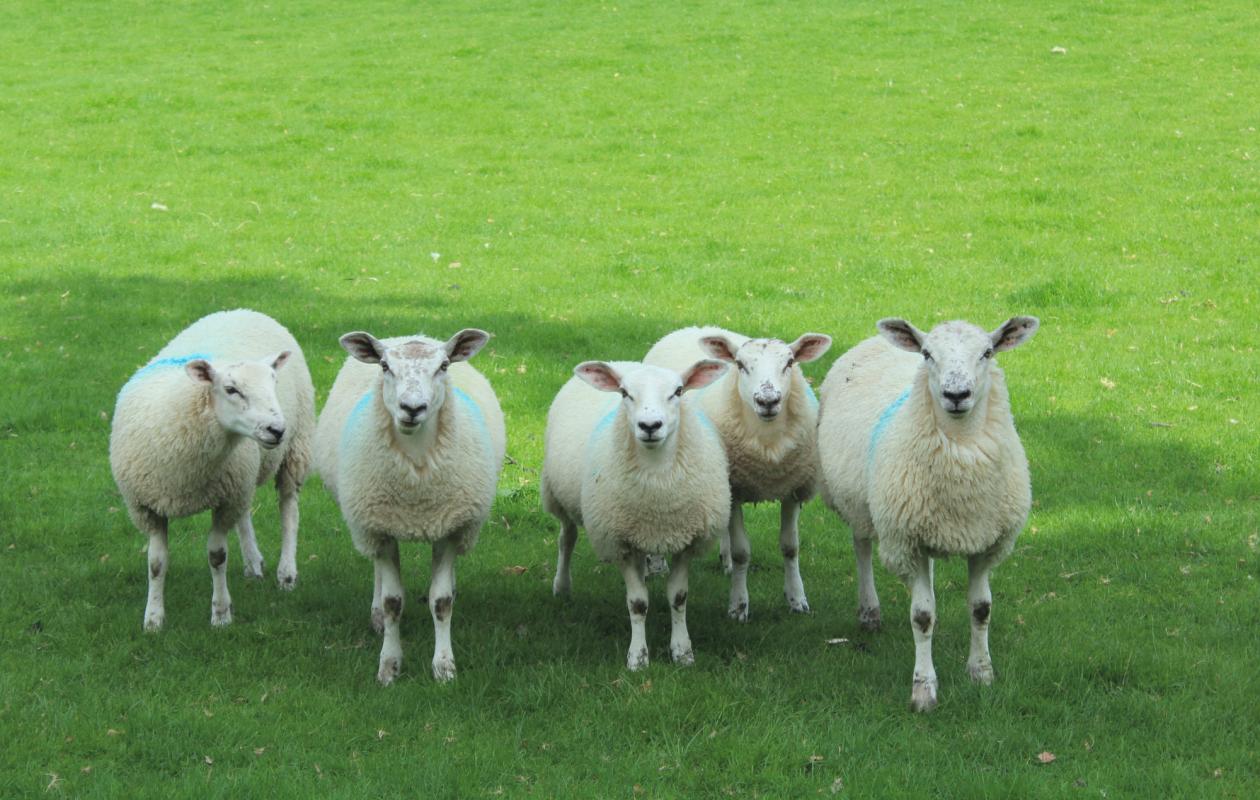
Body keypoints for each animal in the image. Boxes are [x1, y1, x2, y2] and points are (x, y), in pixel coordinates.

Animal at [109, 309, 316, 631]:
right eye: (231, 389)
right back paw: (253, 563)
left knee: (289, 512)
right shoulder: (147, 506)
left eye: (273, 383)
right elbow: (156, 563)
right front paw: (153, 619)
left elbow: (217, 556)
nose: (277, 430)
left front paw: (220, 614)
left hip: (296, 448)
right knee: (245, 513)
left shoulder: (224, 500)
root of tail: (244, 310)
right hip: (241, 478)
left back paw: (286, 573)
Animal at [313, 328, 505, 685]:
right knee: (377, 571)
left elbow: (441, 602)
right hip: (370, 524)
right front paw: (389, 665)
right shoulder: (379, 526)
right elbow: (393, 602)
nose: (412, 408)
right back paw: (375, 614)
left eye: (443, 366)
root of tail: (409, 333)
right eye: (385, 366)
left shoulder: (450, 527)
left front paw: (444, 667)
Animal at [541, 359, 731, 670]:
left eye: (678, 391)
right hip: (558, 496)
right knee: (566, 539)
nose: (650, 426)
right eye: (624, 393)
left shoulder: (686, 541)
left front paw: (682, 651)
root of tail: (621, 362)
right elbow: (638, 603)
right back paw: (562, 586)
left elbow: (678, 597)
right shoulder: (620, 543)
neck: (658, 485)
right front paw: (638, 657)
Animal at [643, 327, 832, 620]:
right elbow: (743, 552)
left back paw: (726, 561)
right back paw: (656, 565)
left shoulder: (792, 488)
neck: (768, 452)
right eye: (741, 365)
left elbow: (790, 547)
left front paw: (797, 599)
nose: (767, 401)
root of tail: (690, 328)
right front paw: (739, 605)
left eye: (789, 363)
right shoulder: (735, 488)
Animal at [817, 316, 1039, 711]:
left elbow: (981, 608)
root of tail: (876, 340)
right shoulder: (907, 542)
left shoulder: (986, 542)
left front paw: (982, 674)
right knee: (862, 547)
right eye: (927, 354)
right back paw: (869, 611)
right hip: (861, 503)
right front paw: (924, 689)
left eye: (987, 352)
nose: (956, 394)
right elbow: (922, 618)